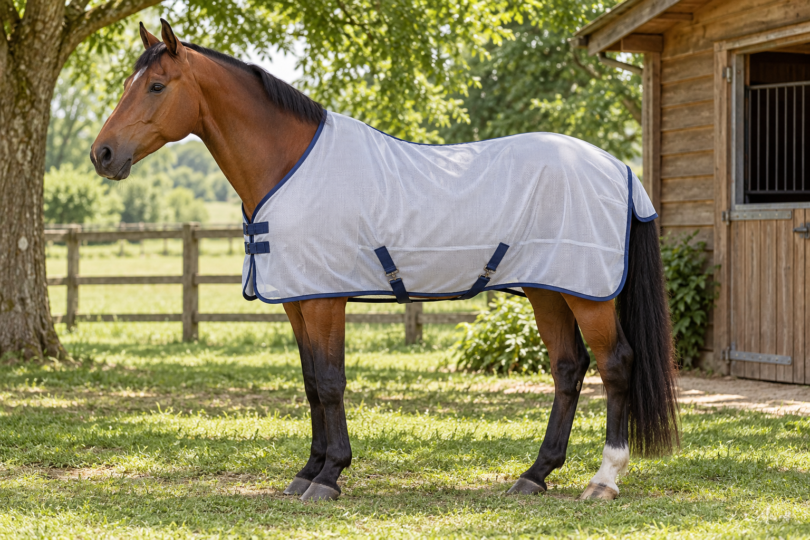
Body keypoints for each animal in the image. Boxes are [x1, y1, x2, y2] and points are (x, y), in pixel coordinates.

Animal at [91, 19, 679, 502]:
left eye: (157, 86)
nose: (102, 154)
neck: (289, 165)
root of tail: (618, 168)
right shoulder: (297, 300)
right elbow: (310, 381)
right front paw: (307, 472)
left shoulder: (325, 298)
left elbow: (330, 381)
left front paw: (329, 477)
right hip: (548, 289)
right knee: (567, 368)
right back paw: (534, 475)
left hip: (589, 295)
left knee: (615, 365)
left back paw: (603, 480)